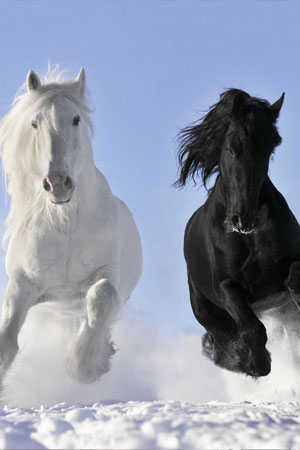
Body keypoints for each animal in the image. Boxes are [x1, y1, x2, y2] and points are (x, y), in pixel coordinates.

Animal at [0, 68, 142, 384]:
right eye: (34, 123)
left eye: (76, 119)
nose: (57, 184)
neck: (66, 224)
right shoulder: (23, 284)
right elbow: (6, 341)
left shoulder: (106, 274)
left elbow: (101, 298)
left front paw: (84, 365)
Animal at [177, 88, 300, 376]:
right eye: (231, 149)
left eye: (268, 151)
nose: (242, 218)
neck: (249, 237)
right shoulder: (227, 287)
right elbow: (252, 331)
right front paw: (259, 365)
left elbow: (295, 281)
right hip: (212, 316)